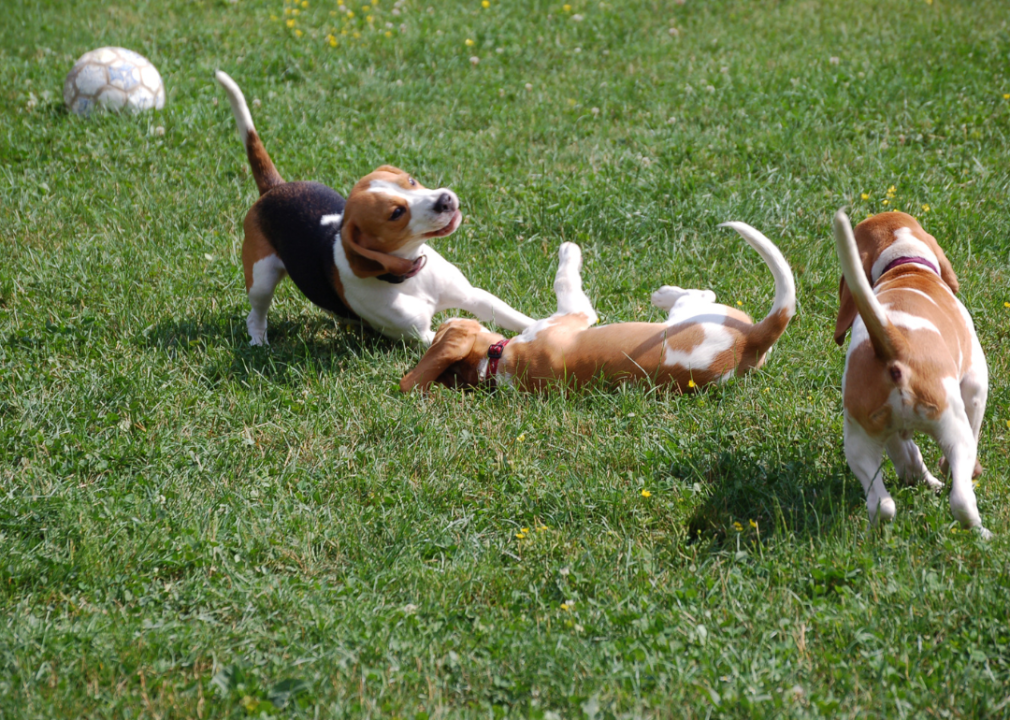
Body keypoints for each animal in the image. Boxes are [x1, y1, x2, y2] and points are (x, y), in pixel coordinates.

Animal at [214, 70, 537, 345]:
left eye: (411, 180)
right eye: (396, 213)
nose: (445, 200)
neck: (410, 274)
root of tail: (274, 188)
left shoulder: (474, 296)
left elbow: (521, 320)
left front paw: (543, 326)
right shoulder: (422, 336)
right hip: (261, 276)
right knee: (255, 313)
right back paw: (259, 341)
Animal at [399, 223, 795, 395]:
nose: (446, 319)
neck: (495, 364)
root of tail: (752, 341)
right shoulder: (575, 314)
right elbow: (564, 280)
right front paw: (569, 249)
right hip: (689, 315)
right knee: (701, 294)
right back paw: (663, 293)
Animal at [832, 208, 989, 533]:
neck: (904, 266)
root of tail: (892, 347)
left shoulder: (890, 433)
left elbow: (906, 455)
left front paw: (917, 474)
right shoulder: (975, 385)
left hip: (858, 443)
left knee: (883, 505)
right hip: (953, 429)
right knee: (962, 501)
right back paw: (983, 533)